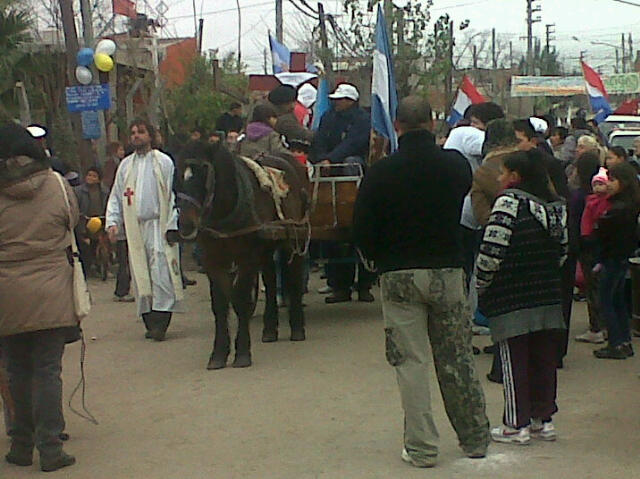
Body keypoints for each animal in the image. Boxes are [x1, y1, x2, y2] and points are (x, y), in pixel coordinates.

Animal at [178, 142, 308, 372]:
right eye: (178, 175)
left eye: (204, 175)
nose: (185, 224)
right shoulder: (213, 260)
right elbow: (220, 304)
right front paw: (219, 353)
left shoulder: (246, 258)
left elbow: (239, 299)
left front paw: (243, 352)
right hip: (266, 248)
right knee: (271, 282)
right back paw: (269, 328)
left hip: (294, 239)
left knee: (294, 276)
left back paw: (297, 327)